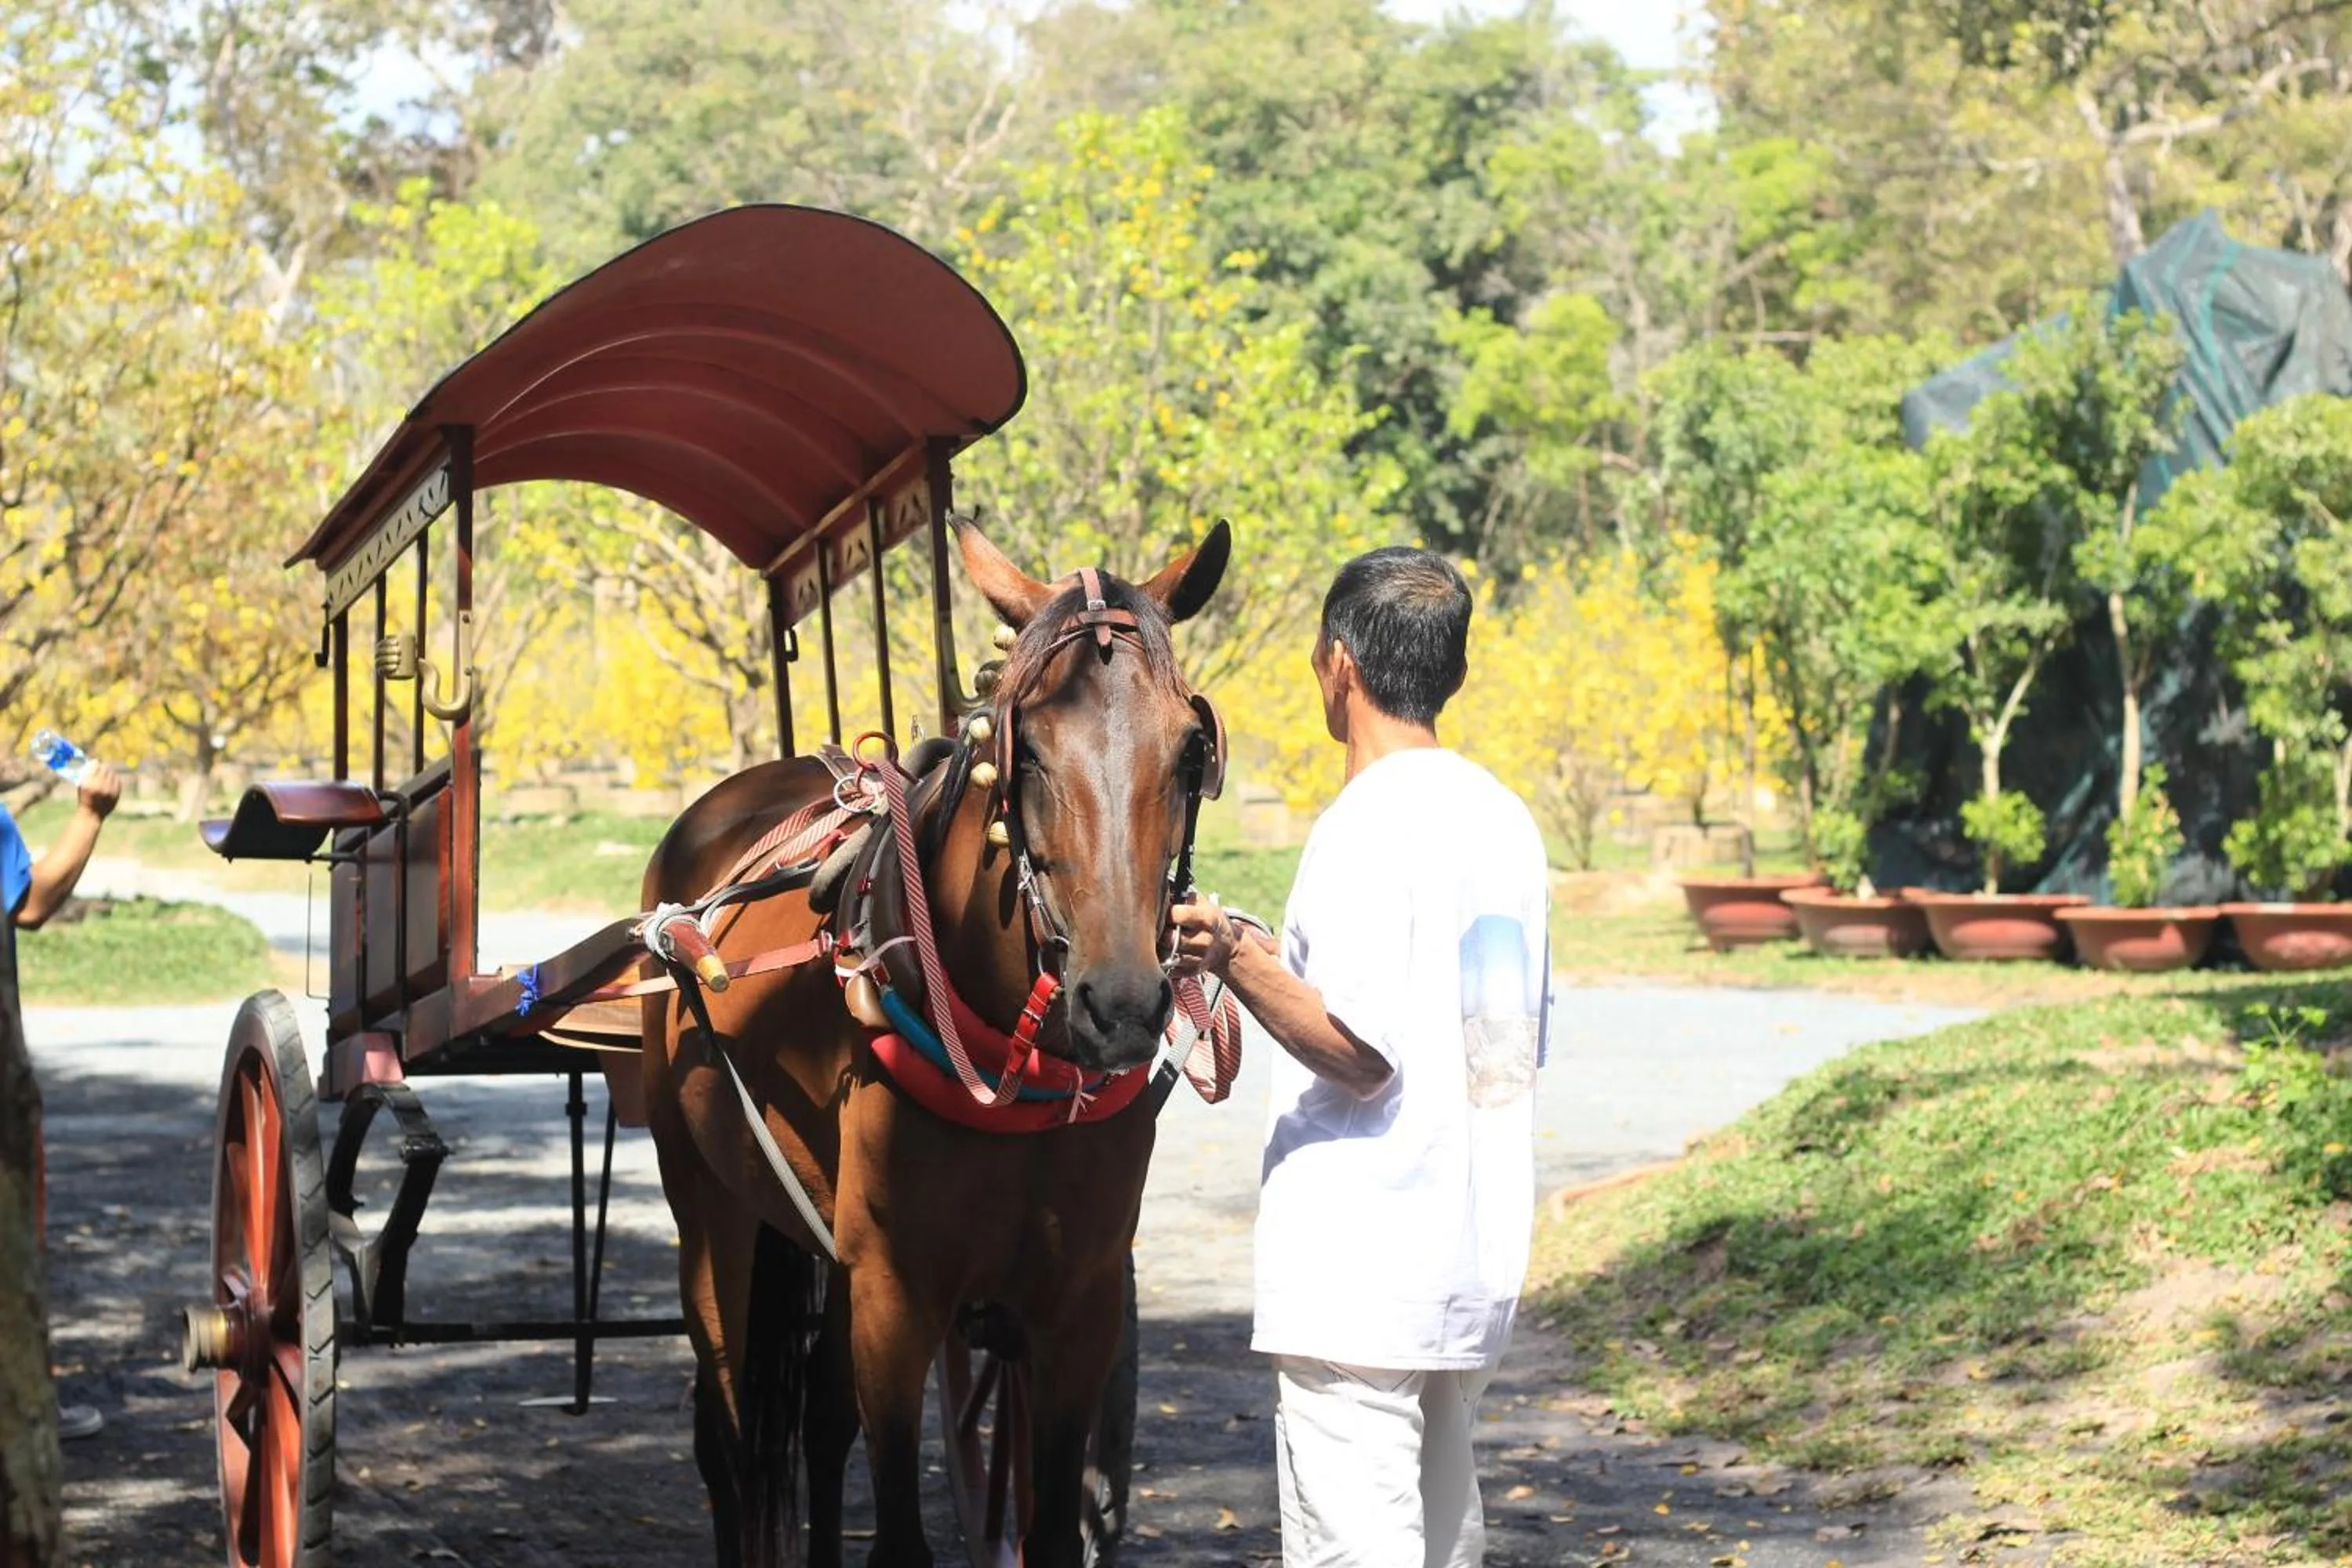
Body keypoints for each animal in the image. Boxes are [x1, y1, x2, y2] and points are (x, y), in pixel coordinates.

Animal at [639, 517, 1232, 1568]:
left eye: (1191, 746)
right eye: (1024, 748)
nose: (1121, 1003)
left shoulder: (1078, 1301)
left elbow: (1047, 1527)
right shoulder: (894, 1293)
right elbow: (895, 1533)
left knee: (818, 1424)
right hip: (706, 1199)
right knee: (731, 1437)